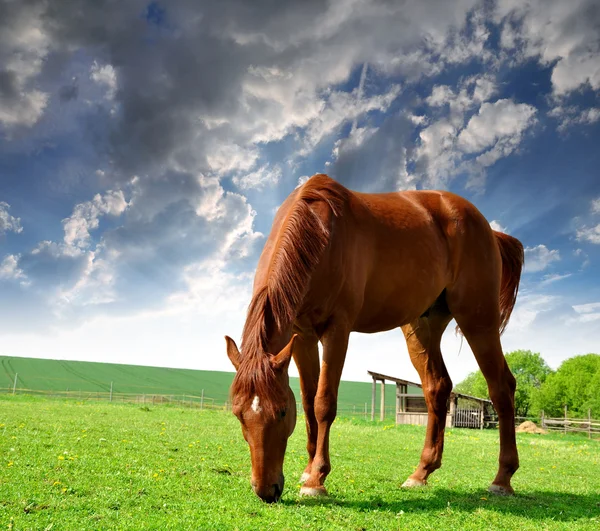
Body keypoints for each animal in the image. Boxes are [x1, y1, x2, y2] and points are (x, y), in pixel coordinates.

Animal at [223, 174, 524, 502]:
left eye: (281, 412)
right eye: (238, 414)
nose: (266, 490)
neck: (320, 233)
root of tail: (487, 229)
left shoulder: (337, 330)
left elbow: (323, 403)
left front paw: (316, 479)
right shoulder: (301, 336)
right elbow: (308, 402)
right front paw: (308, 469)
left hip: (478, 319)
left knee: (501, 387)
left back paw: (502, 478)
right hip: (423, 326)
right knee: (437, 387)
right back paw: (421, 473)